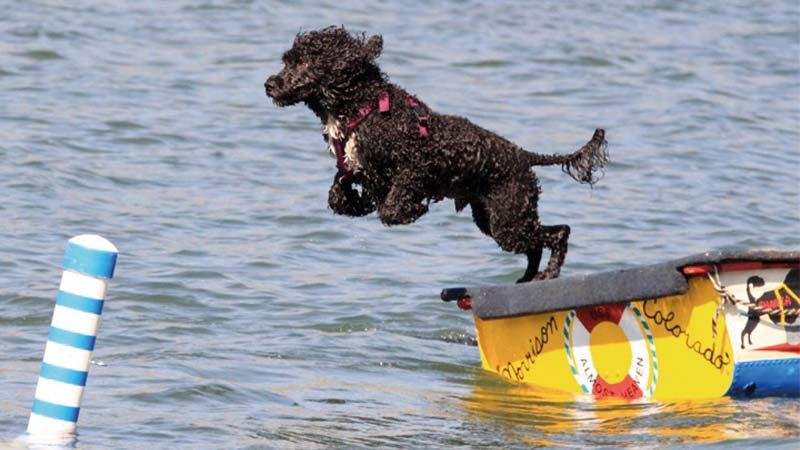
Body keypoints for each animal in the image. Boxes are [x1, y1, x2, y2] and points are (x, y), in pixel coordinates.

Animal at [266, 26, 608, 282]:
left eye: (303, 63)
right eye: (287, 60)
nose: (269, 84)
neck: (363, 107)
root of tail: (524, 155)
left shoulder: (414, 167)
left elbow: (390, 206)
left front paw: (412, 211)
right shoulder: (354, 167)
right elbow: (338, 194)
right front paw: (357, 204)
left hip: (508, 217)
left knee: (559, 233)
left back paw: (549, 274)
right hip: (494, 219)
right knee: (537, 244)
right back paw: (527, 278)